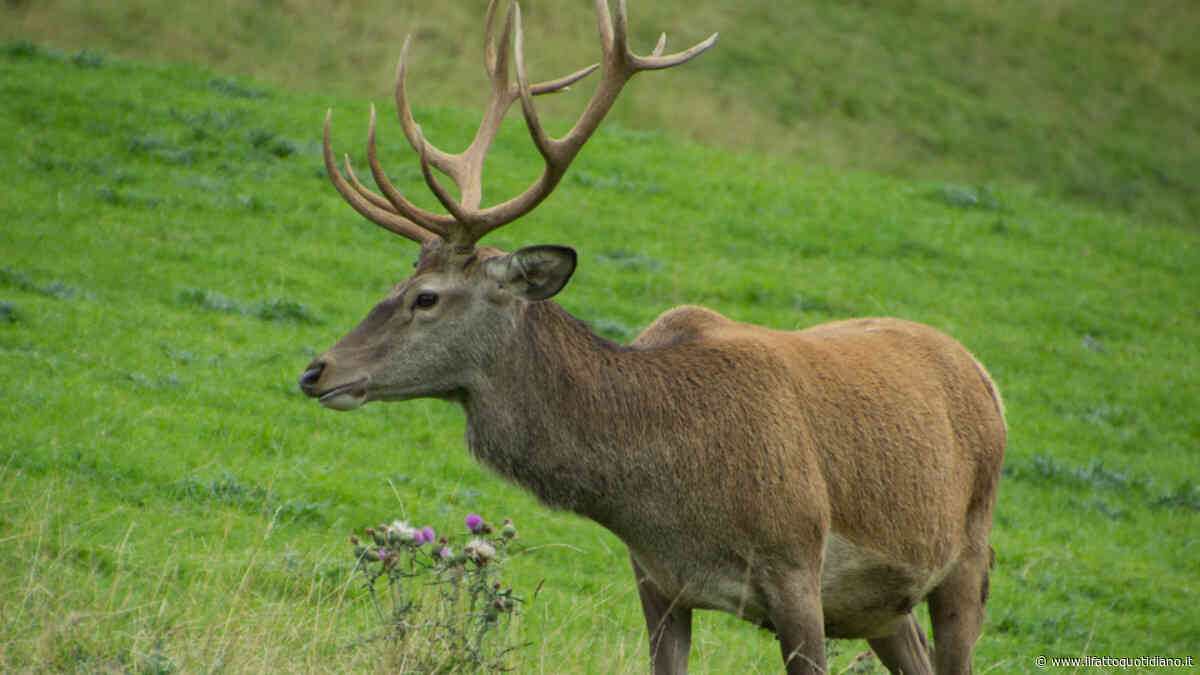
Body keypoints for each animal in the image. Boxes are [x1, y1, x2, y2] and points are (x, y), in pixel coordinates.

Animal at [297, 1, 1007, 673]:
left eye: (426, 297)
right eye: (399, 281)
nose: (316, 371)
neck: (665, 497)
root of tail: (983, 374)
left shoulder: (797, 565)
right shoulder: (655, 581)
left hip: (971, 551)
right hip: (879, 605)